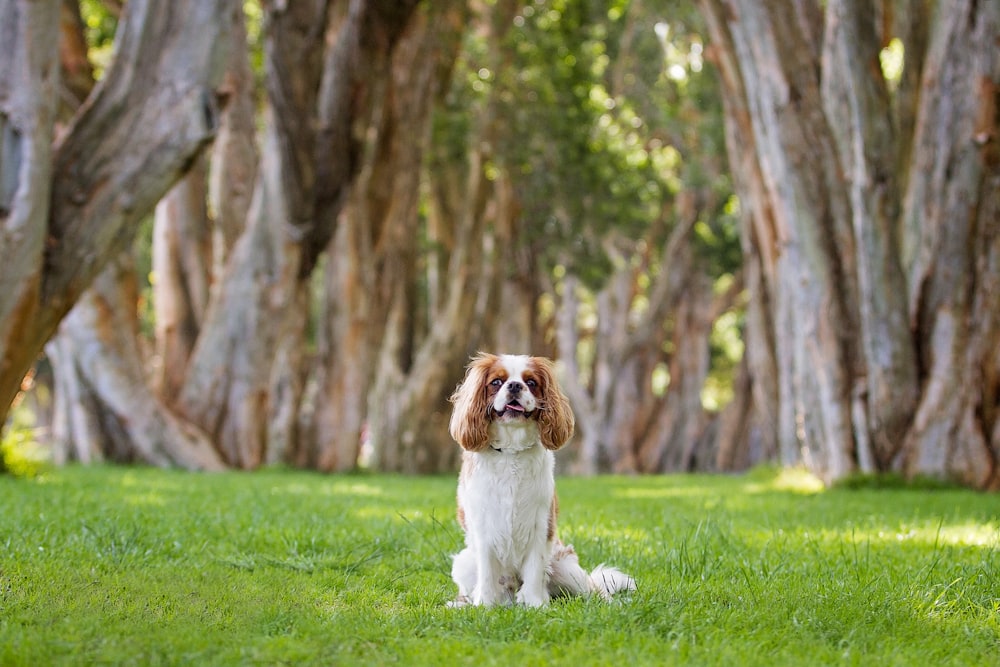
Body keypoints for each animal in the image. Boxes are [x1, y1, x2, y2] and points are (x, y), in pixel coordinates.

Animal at [446, 352, 632, 608]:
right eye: (497, 382)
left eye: (531, 382)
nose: (515, 385)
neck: (511, 450)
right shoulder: (484, 526)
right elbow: (487, 571)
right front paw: (485, 605)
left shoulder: (540, 524)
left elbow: (535, 567)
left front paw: (535, 604)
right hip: (464, 563)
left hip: (566, 568)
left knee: (592, 588)